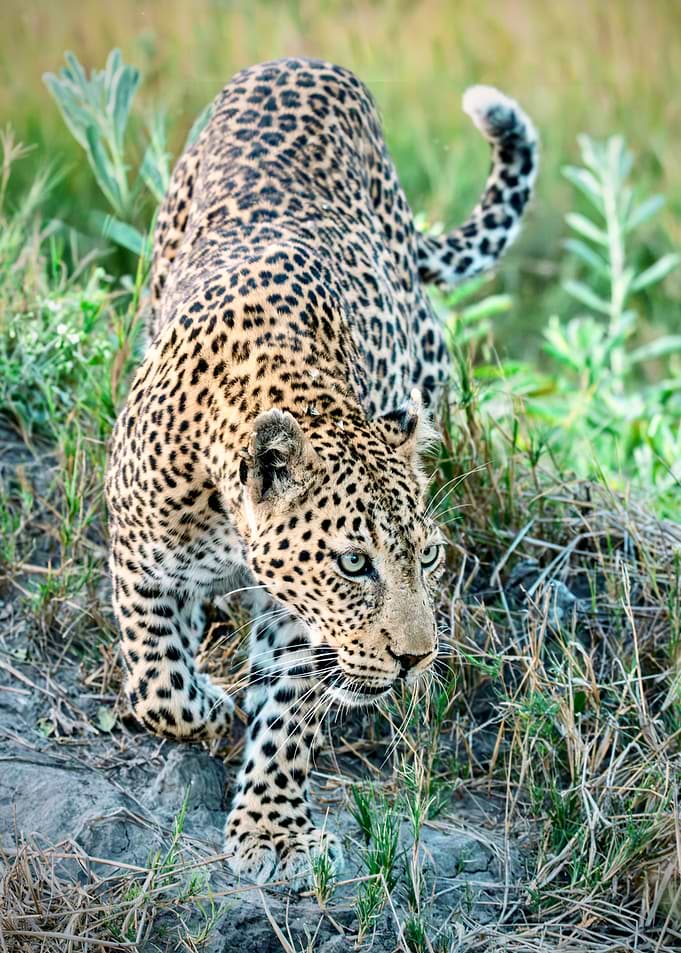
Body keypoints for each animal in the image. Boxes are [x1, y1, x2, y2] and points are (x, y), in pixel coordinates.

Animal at [105, 57, 537, 889]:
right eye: (353, 562)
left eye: (426, 556)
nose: (415, 658)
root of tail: (304, 62)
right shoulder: (136, 553)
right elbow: (158, 681)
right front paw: (213, 710)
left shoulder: (302, 620)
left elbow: (289, 716)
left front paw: (273, 829)